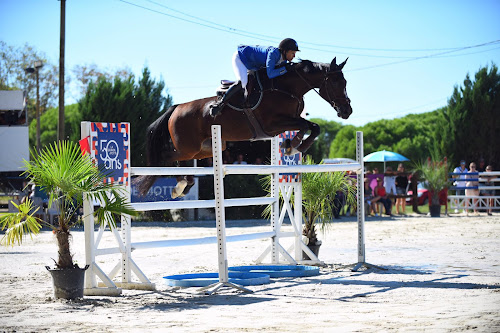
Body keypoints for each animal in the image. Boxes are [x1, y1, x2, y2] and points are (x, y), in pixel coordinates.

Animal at [136, 57, 352, 197]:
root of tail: (176, 107)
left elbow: (310, 126)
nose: (347, 111)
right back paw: (180, 184)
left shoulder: (284, 123)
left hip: (204, 148)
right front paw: (296, 145)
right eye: (336, 82)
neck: (286, 88)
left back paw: (185, 184)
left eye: (345, 81)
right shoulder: (274, 124)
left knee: (180, 160)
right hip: (188, 147)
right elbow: (310, 126)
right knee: (167, 157)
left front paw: (292, 145)